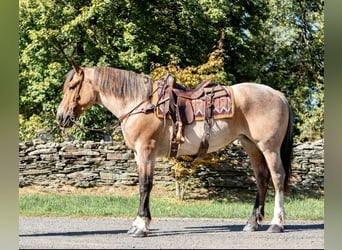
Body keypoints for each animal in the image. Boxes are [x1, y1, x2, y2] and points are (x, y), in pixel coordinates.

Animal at [56, 63, 294, 237]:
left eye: (72, 87)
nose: (60, 117)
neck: (140, 104)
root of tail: (279, 95)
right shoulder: (140, 155)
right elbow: (144, 186)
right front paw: (139, 223)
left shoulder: (146, 151)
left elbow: (145, 186)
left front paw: (140, 226)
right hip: (251, 146)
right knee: (261, 179)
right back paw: (252, 223)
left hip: (269, 148)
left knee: (277, 178)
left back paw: (277, 224)